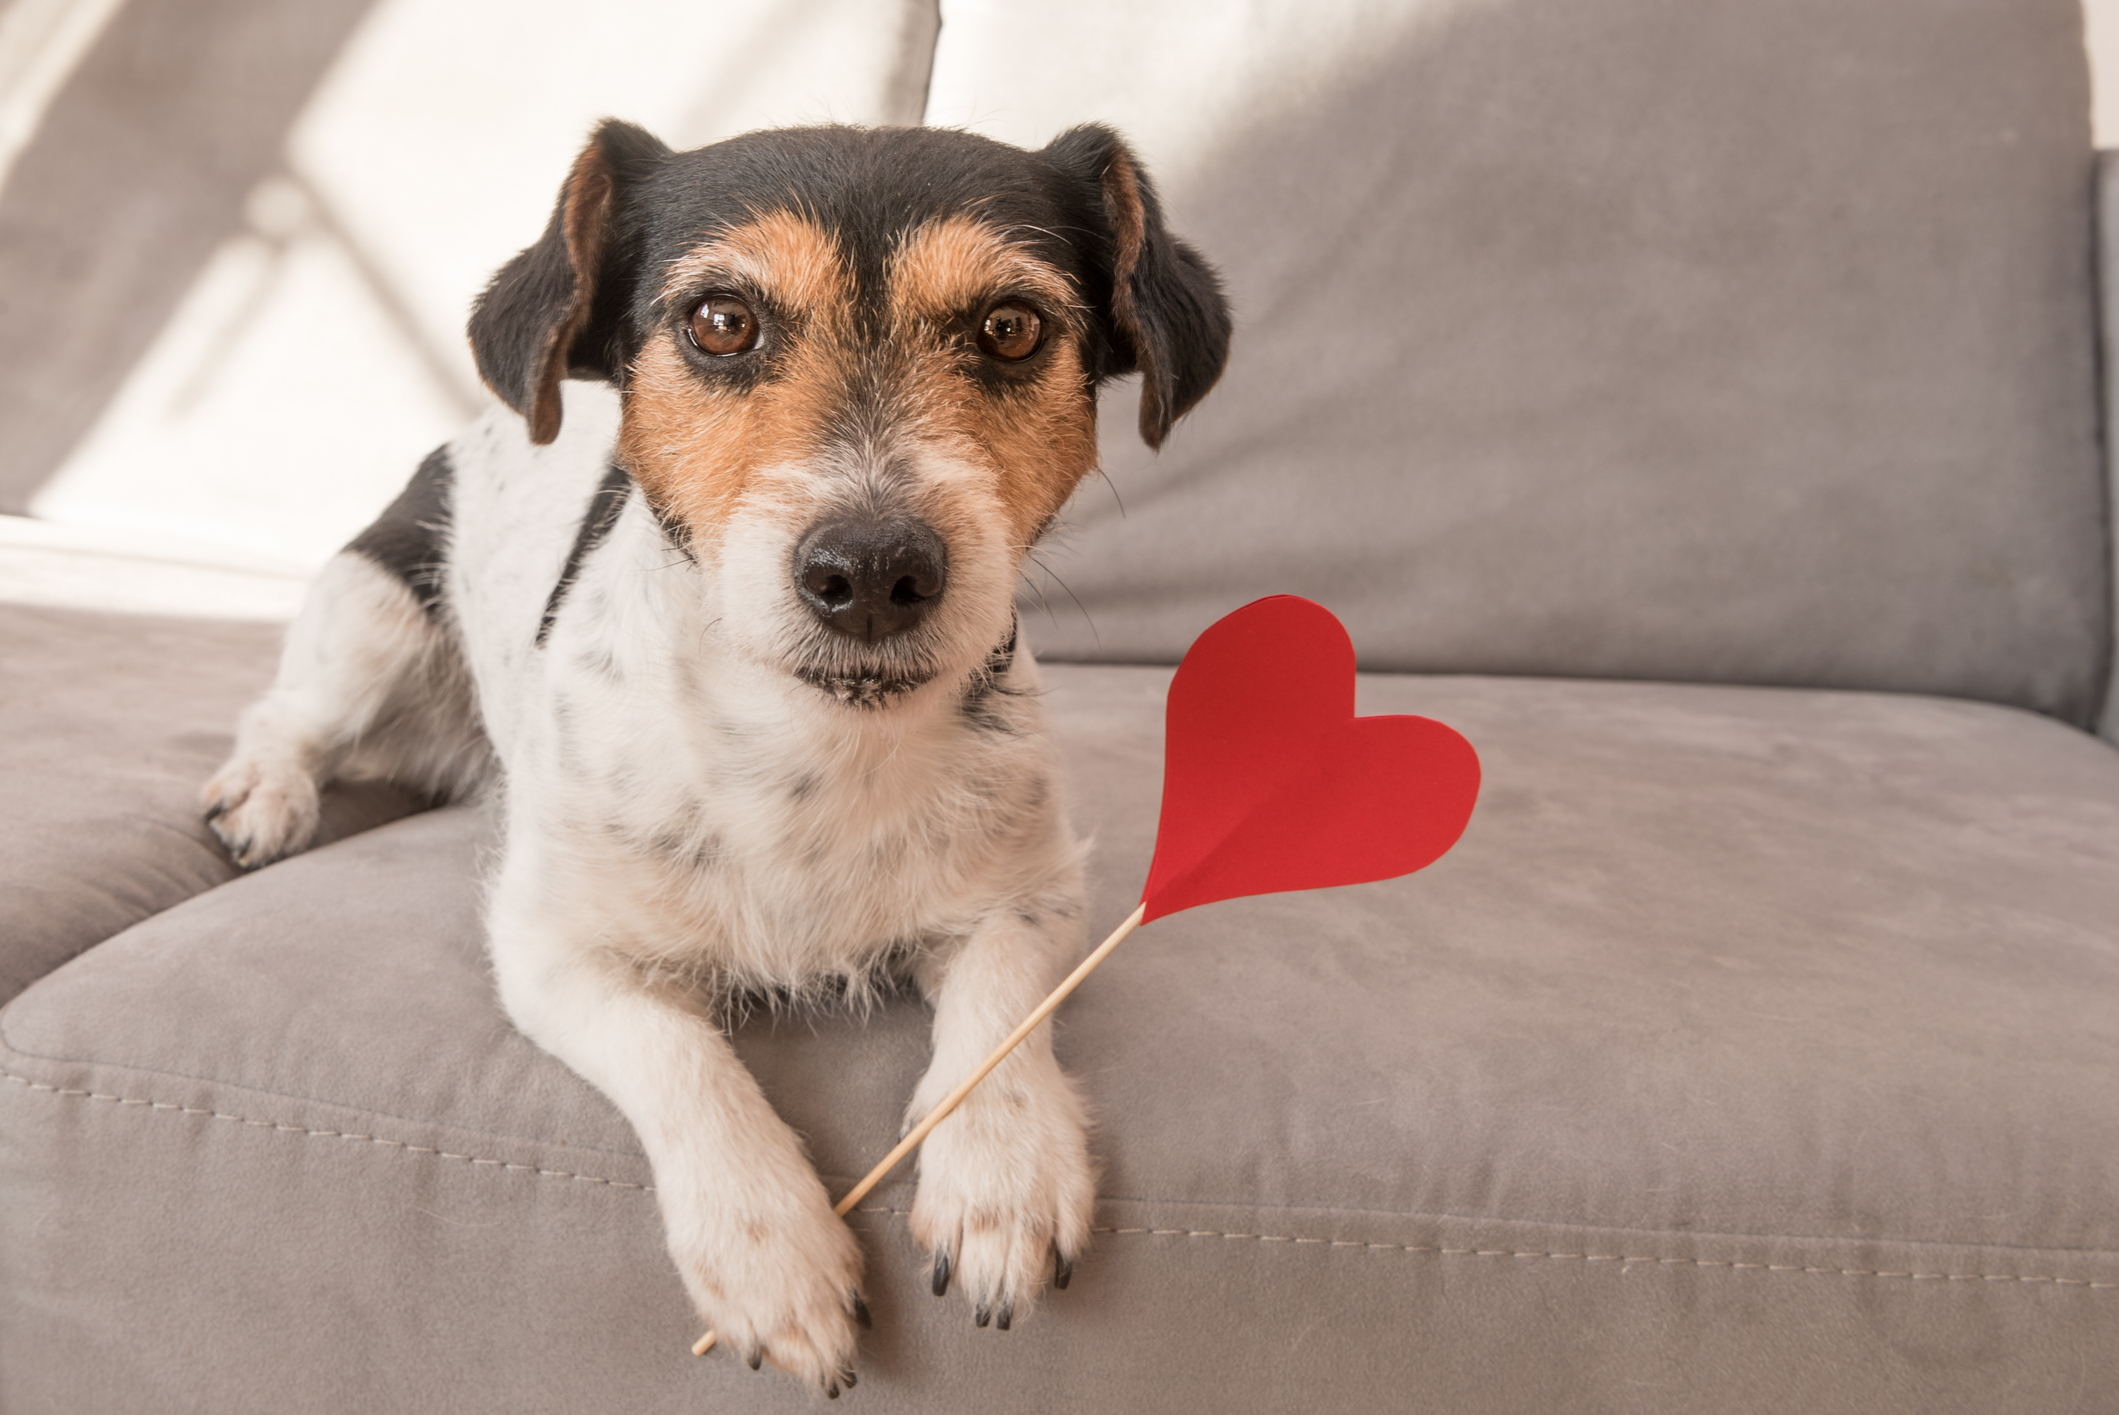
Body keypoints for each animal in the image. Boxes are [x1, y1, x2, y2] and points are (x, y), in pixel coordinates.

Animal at [202, 118, 1229, 1389]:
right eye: (721, 320)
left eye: (1010, 327)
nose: (871, 569)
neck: (814, 738)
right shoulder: (553, 952)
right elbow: (681, 1051)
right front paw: (771, 1249)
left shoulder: (1032, 890)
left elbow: (1000, 1001)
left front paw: (1003, 1170)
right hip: (374, 612)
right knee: (288, 709)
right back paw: (264, 794)